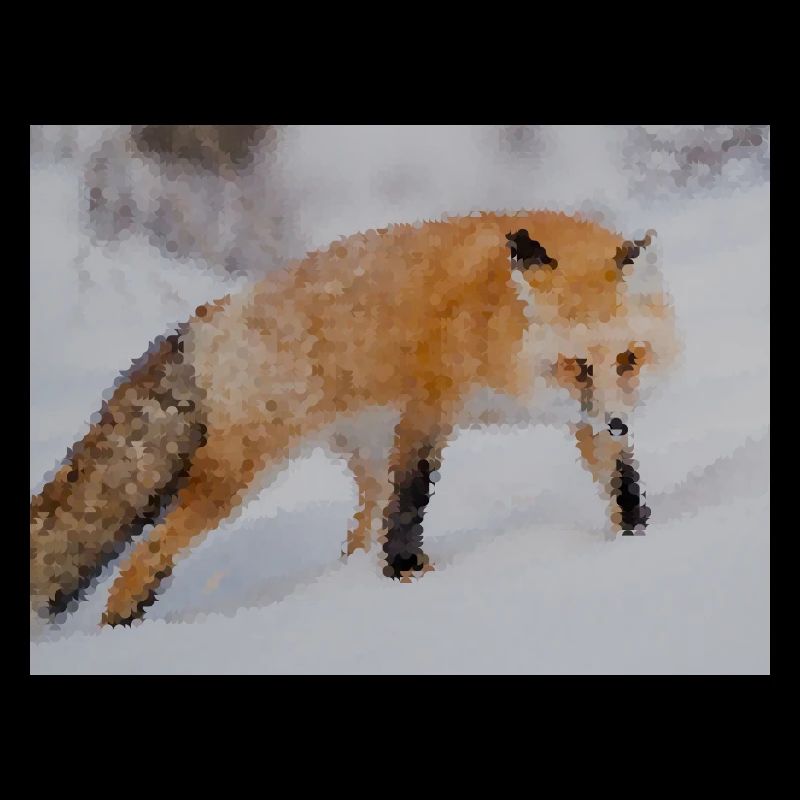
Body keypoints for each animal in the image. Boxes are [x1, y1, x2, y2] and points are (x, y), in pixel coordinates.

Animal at [30, 210, 679, 628]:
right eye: (577, 365)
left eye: (628, 359)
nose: (620, 422)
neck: (495, 322)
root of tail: (211, 315)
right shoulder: (425, 410)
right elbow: (411, 504)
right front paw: (406, 577)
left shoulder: (582, 419)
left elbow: (621, 483)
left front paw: (635, 538)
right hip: (237, 476)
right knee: (144, 556)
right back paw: (120, 625)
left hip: (362, 458)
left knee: (356, 535)